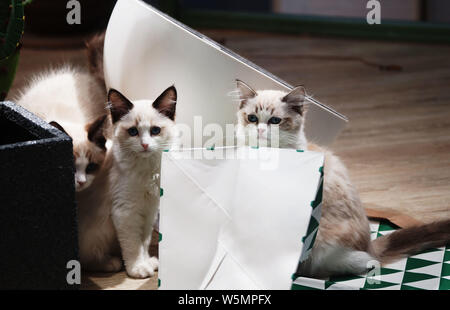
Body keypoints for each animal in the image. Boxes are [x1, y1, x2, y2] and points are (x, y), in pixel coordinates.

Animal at [234, 80, 450, 278]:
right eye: (252, 119)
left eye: (275, 121)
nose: (261, 131)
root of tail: (370, 246)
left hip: (324, 246)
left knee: (359, 263)